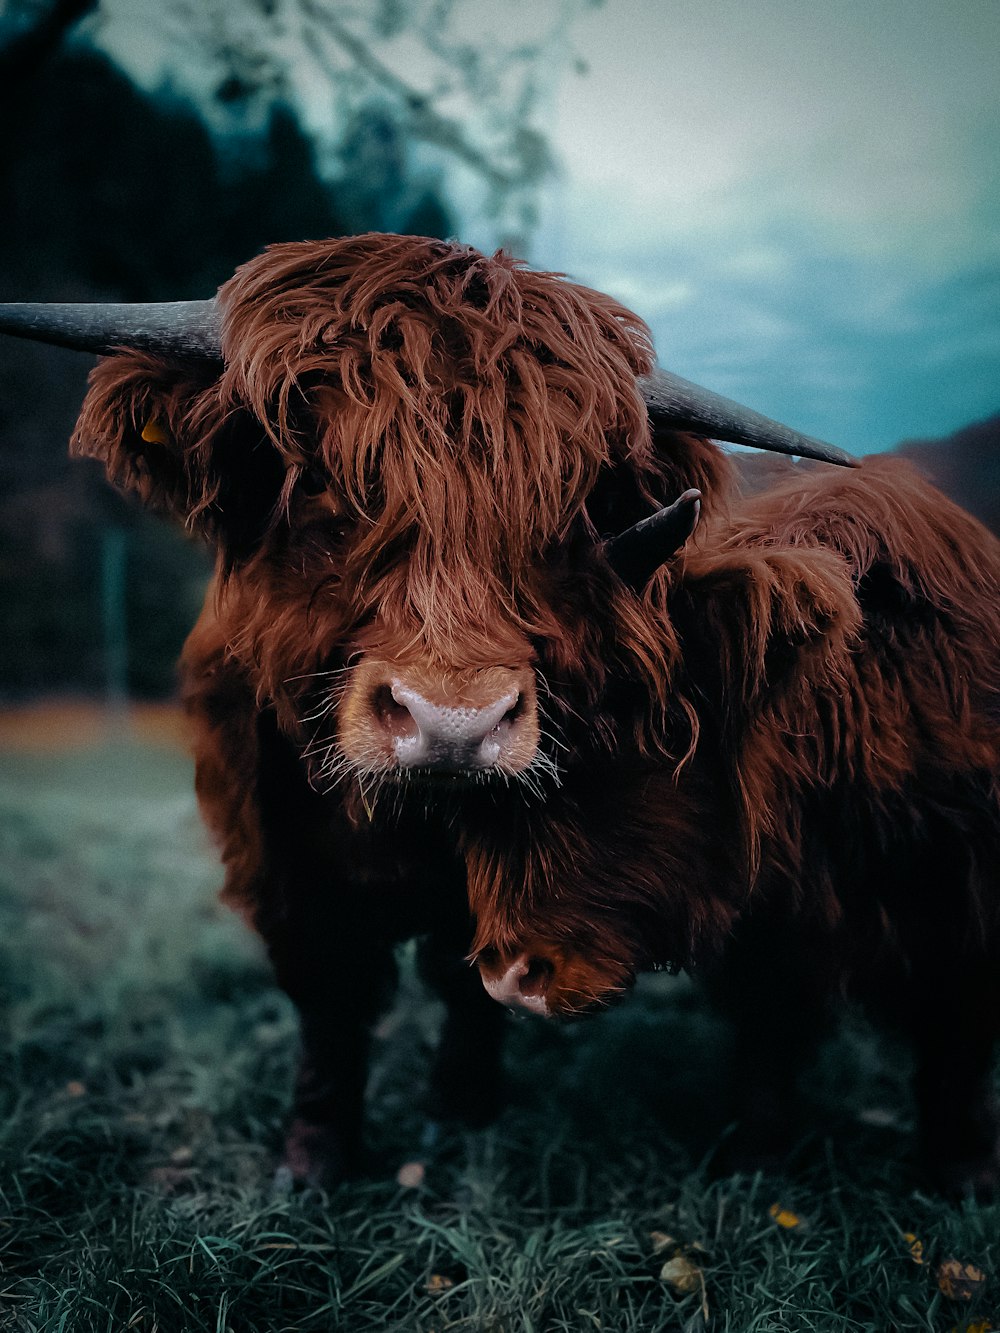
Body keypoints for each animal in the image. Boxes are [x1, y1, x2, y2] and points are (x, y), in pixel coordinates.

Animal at [2, 233, 994, 1196]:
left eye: (566, 509)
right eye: (317, 480)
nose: (453, 722)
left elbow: (463, 972)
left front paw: (459, 1111)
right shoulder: (275, 839)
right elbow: (329, 991)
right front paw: (313, 1162)